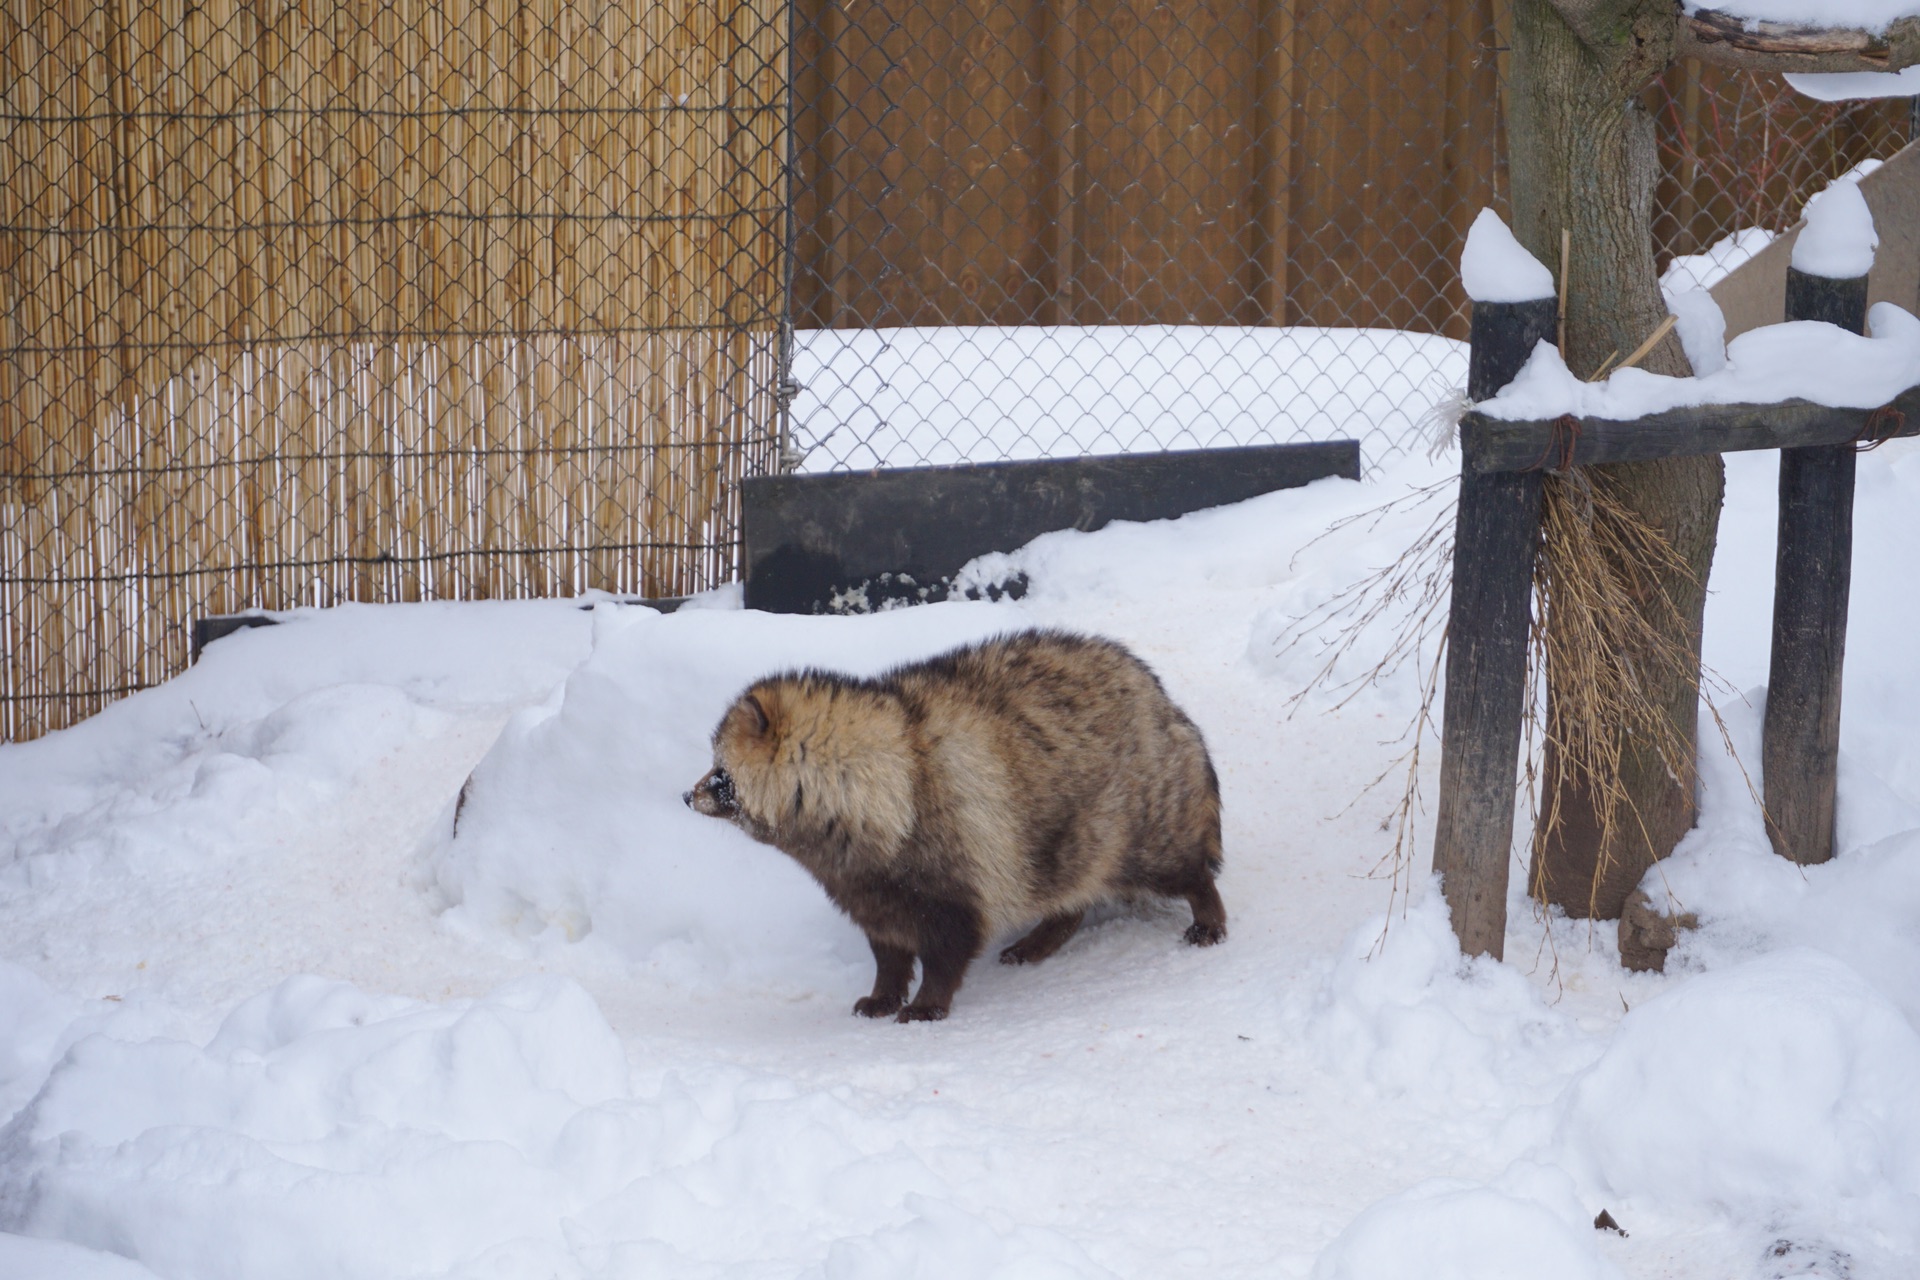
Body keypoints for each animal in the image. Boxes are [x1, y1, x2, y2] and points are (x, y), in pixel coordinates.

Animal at [683, 629, 1221, 1020]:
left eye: (720, 772)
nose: (687, 796)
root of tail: (1159, 697)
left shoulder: (952, 860)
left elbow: (949, 946)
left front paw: (928, 1002)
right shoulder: (867, 885)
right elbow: (888, 948)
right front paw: (885, 991)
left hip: (1139, 817)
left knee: (1178, 866)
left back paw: (1207, 910)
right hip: (1070, 835)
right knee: (1069, 885)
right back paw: (1047, 933)